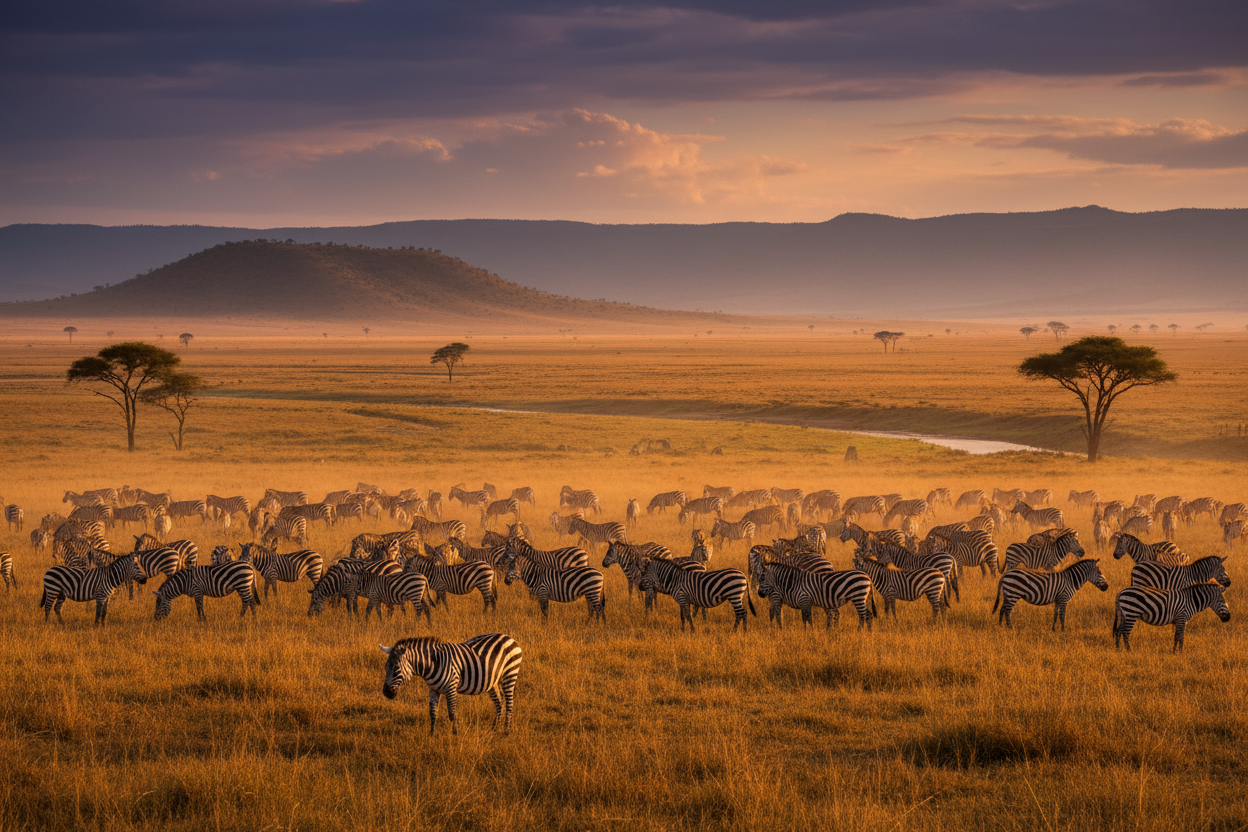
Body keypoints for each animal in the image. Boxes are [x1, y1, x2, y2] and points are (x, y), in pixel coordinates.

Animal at [379, 633, 522, 735]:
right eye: (385, 668)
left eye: (396, 669)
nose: (386, 693)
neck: (433, 664)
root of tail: (509, 638)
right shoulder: (433, 689)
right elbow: (432, 712)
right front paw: (431, 735)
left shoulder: (451, 687)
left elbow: (452, 713)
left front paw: (455, 733)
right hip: (493, 682)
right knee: (499, 702)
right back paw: (495, 729)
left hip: (510, 674)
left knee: (509, 703)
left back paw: (506, 731)